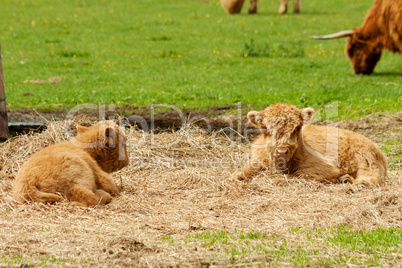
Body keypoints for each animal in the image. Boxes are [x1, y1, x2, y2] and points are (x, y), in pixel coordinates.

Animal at [232, 103, 386, 187]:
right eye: (266, 129)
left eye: (296, 128)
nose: (281, 151)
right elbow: (244, 169)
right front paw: (238, 176)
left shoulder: (325, 168)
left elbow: (299, 174)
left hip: (365, 159)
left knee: (371, 176)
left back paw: (356, 181)